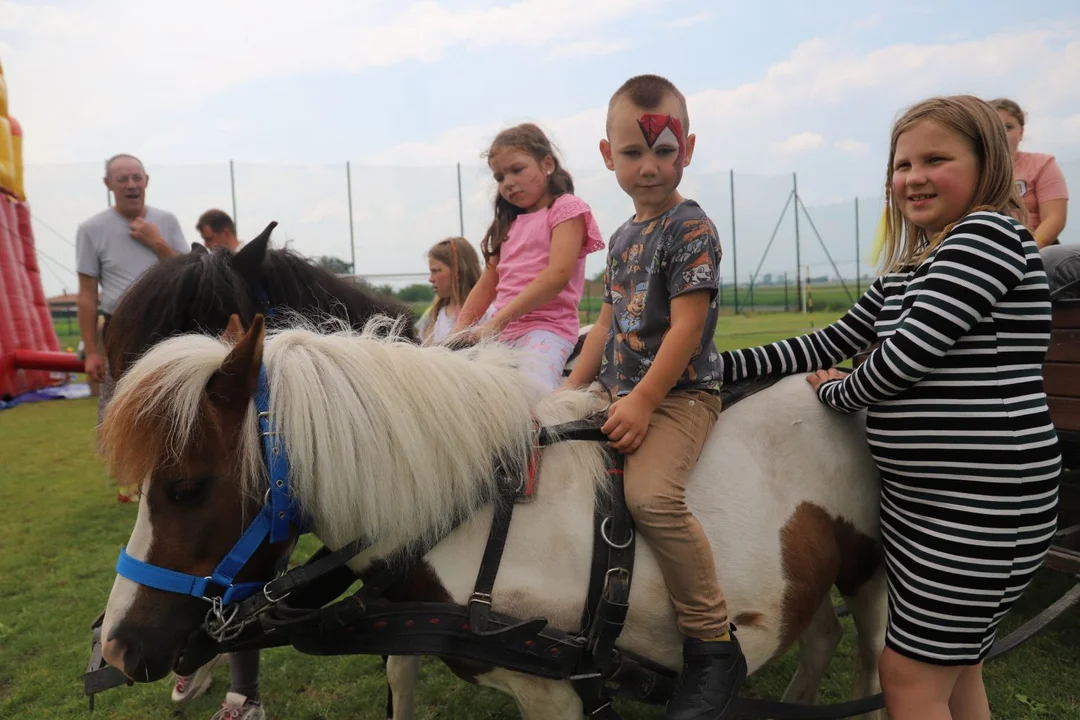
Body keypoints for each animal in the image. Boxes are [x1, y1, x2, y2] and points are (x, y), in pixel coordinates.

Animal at [95, 317, 885, 720]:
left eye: (185, 487)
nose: (116, 650)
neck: (478, 518)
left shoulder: (555, 694)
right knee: (816, 635)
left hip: (871, 572)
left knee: (871, 654)